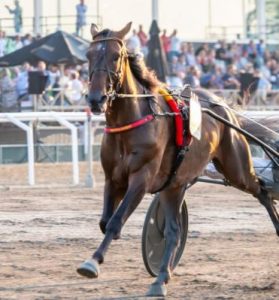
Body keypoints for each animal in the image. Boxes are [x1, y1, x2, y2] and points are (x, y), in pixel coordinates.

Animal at [77, 22, 279, 296]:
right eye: (88, 55)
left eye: (116, 55)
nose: (96, 99)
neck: (130, 123)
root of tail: (223, 106)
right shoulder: (113, 179)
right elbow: (105, 221)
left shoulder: (141, 178)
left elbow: (115, 221)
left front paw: (92, 262)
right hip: (175, 185)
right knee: (173, 230)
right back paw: (161, 277)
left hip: (236, 168)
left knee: (262, 191)